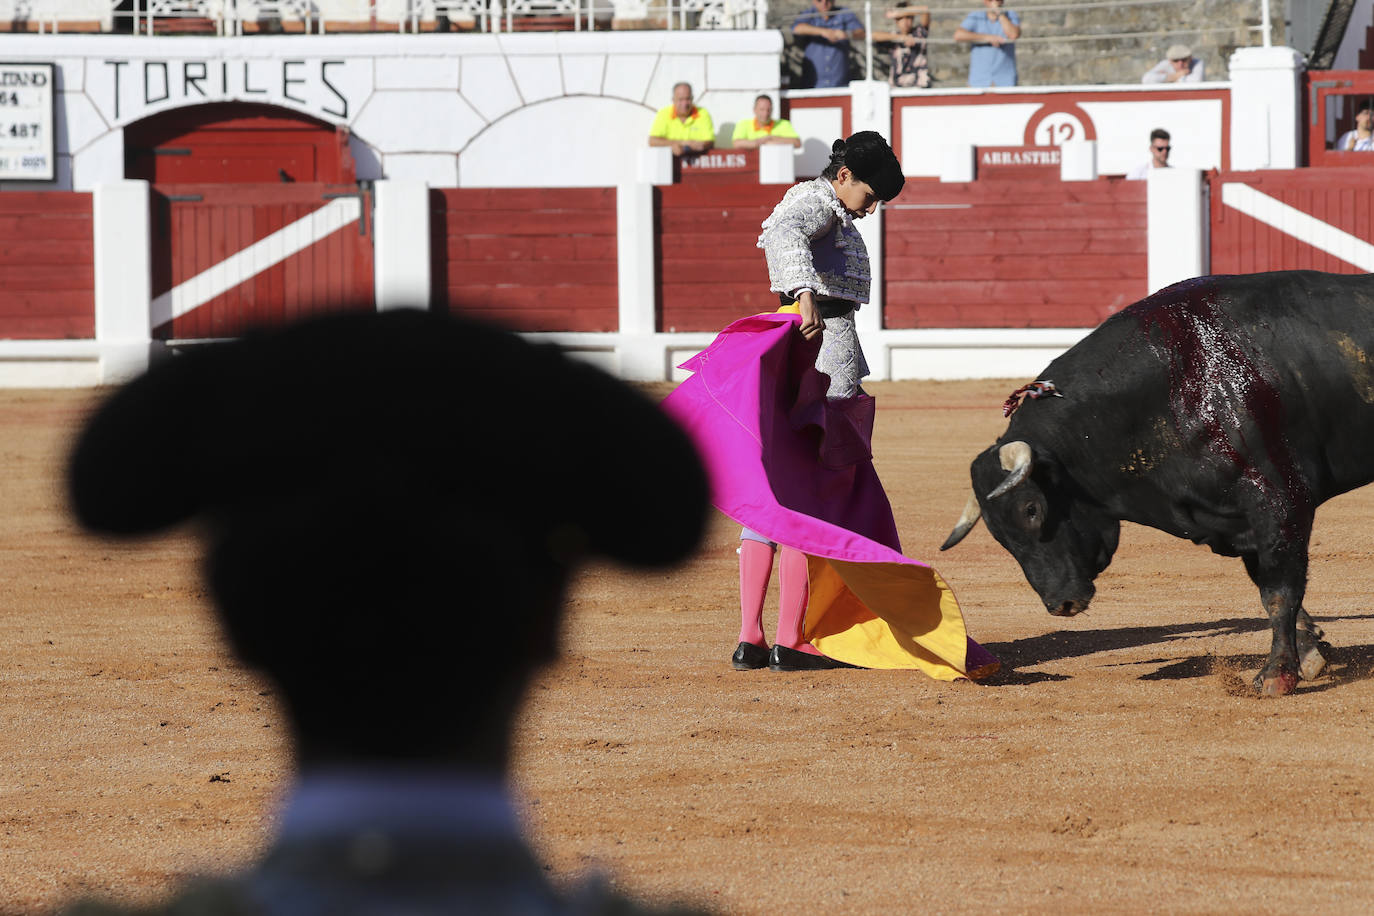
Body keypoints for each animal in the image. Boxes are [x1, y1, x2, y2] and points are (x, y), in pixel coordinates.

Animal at [939, 269, 1374, 697]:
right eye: (997, 534)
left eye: (1031, 509)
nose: (1060, 604)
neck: (1174, 386)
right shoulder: (1239, 522)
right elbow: (1269, 587)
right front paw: (1309, 655)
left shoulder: (1278, 503)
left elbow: (1279, 592)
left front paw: (1275, 676)